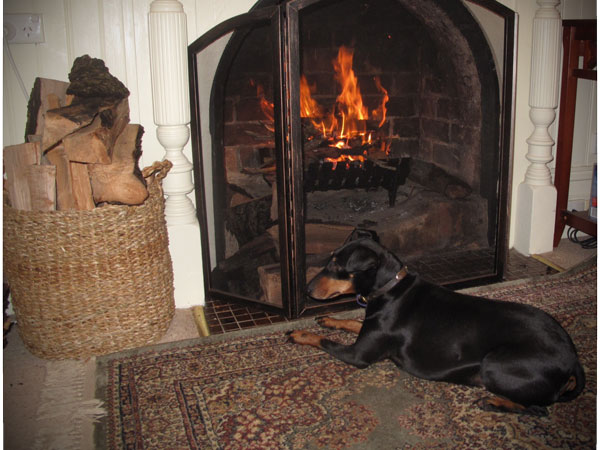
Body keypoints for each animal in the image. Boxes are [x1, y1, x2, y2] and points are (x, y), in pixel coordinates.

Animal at [288, 236, 584, 414]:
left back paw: (492, 401)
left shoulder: (358, 355)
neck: (390, 288)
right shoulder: (366, 330)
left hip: (495, 363)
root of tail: (573, 360)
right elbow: (351, 322)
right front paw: (328, 319)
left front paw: (299, 333)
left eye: (337, 266)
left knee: (538, 409)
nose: (306, 289)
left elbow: (323, 341)